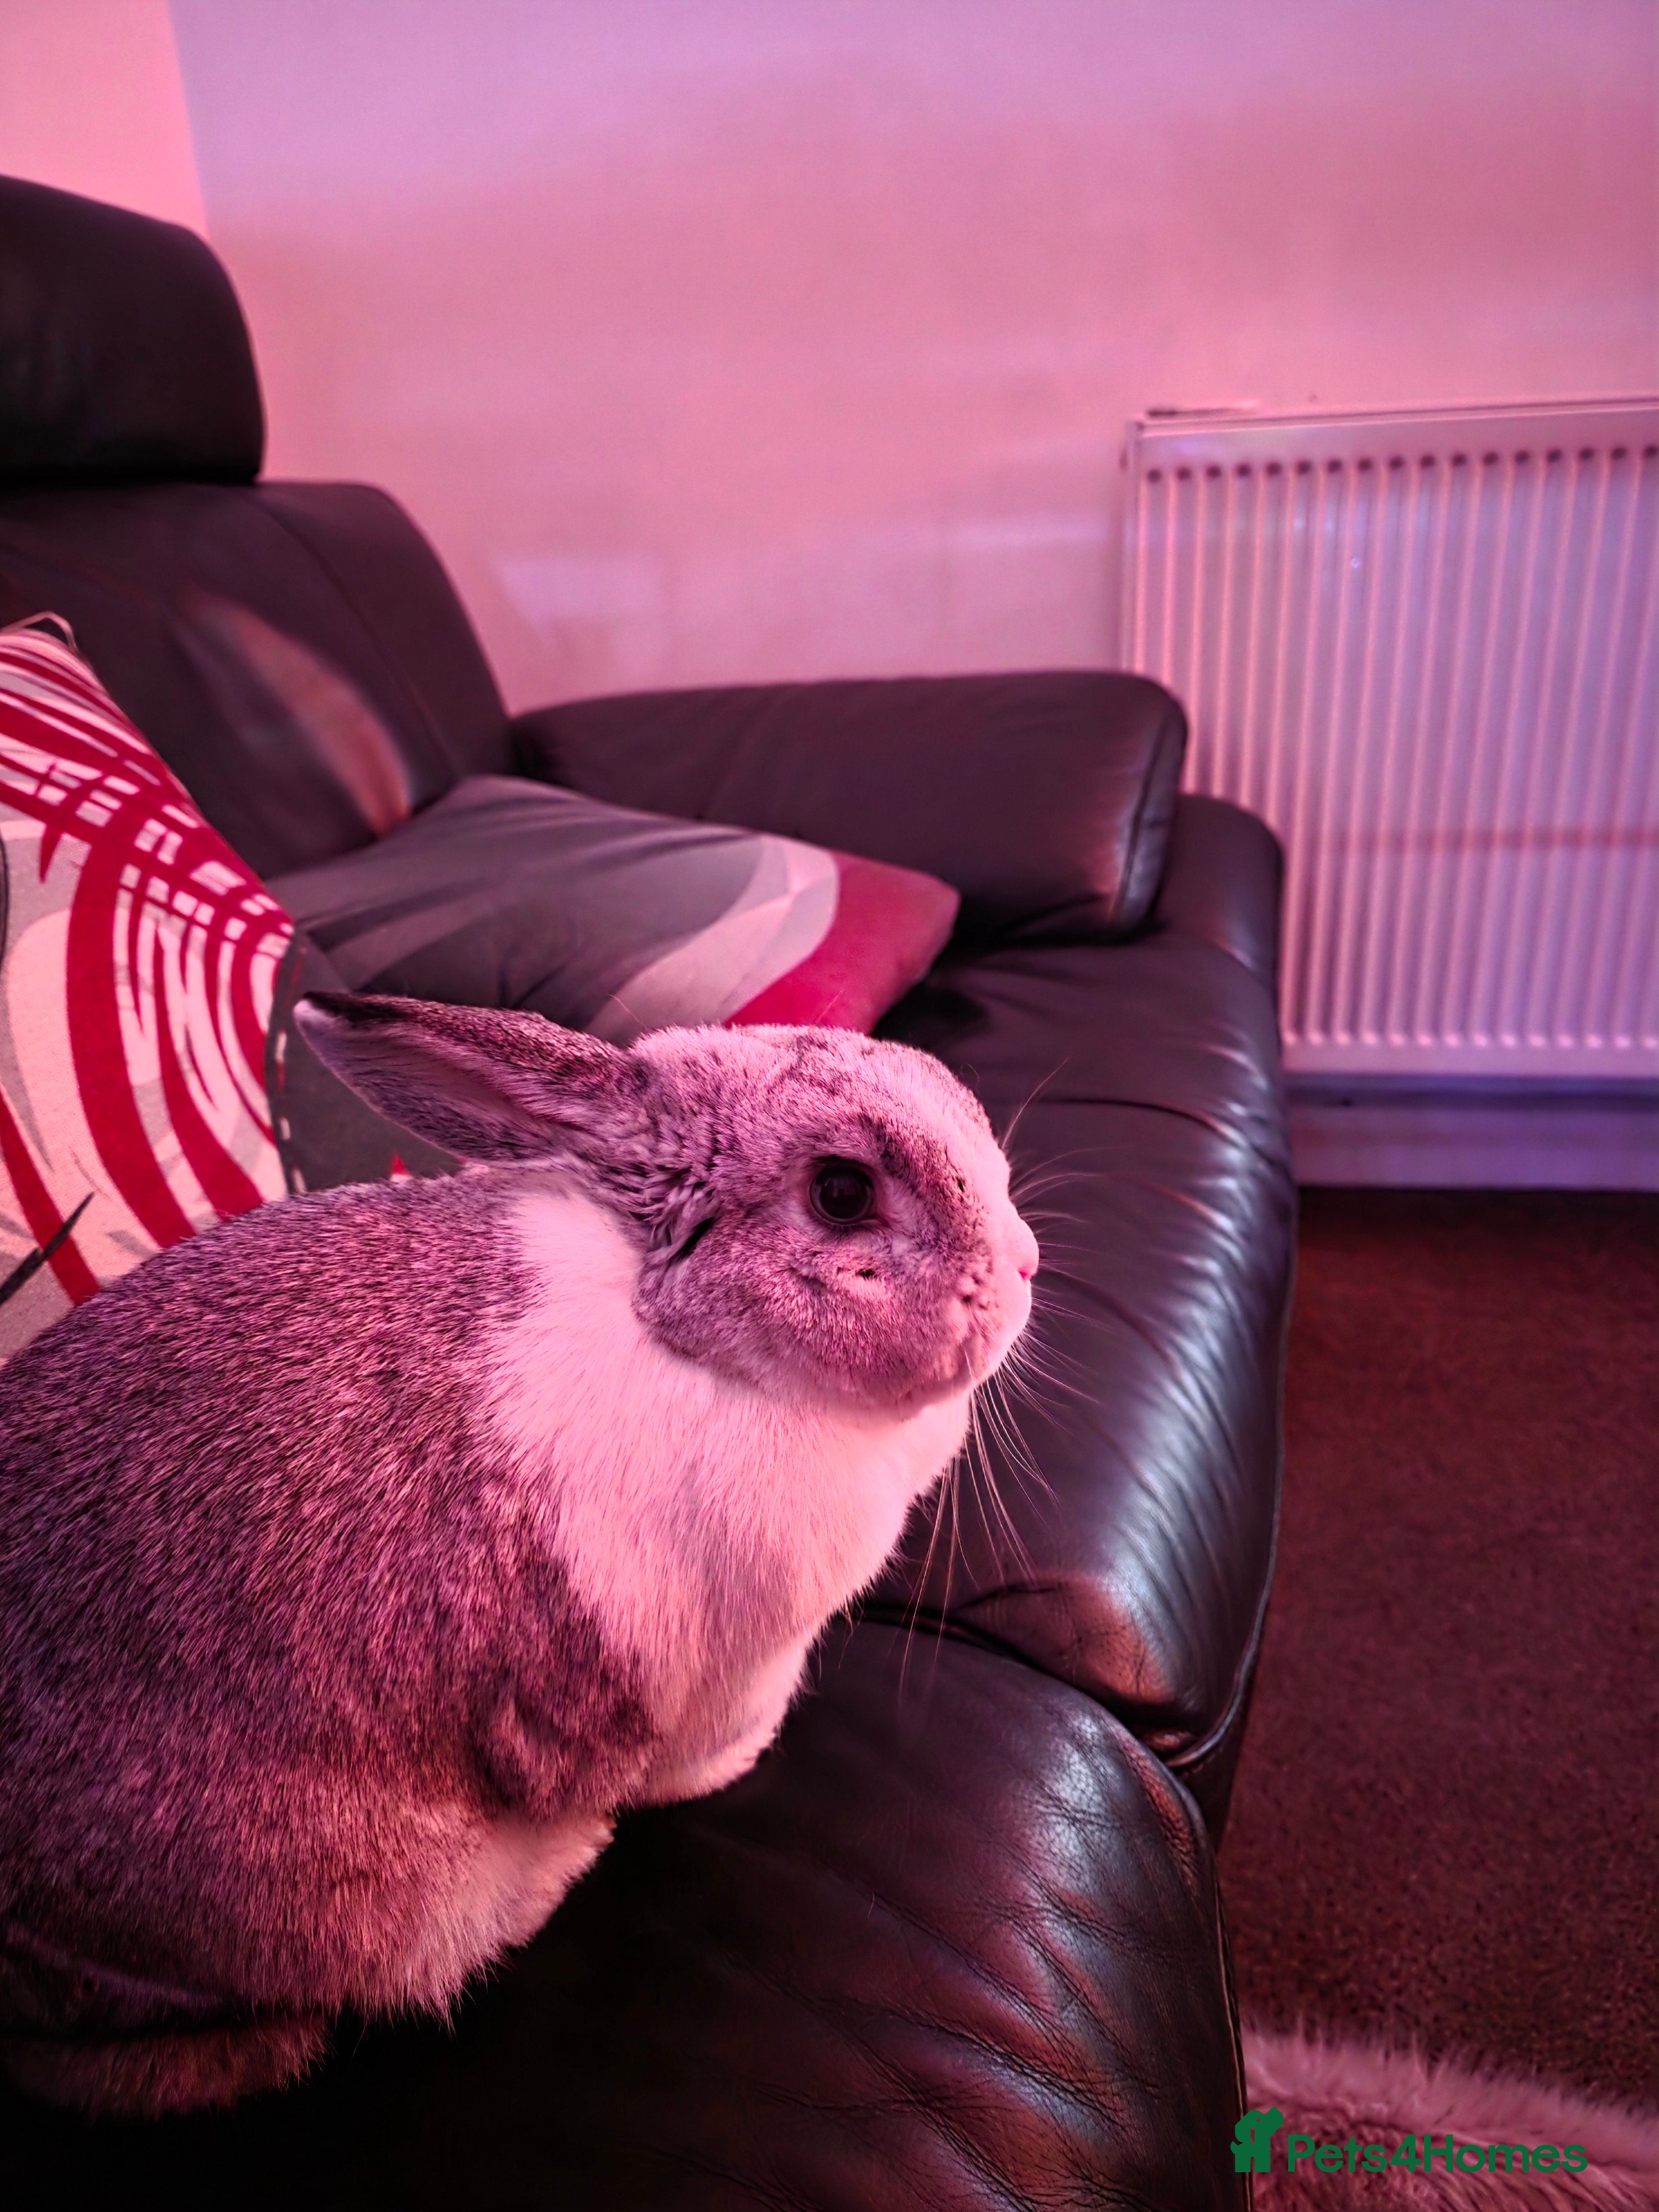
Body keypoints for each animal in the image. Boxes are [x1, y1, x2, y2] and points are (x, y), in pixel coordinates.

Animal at [0, 993, 1038, 2118]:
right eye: (842, 1194)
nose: (1028, 1263)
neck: (680, 1329)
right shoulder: (699, 1681)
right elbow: (687, 1758)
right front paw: (738, 1765)